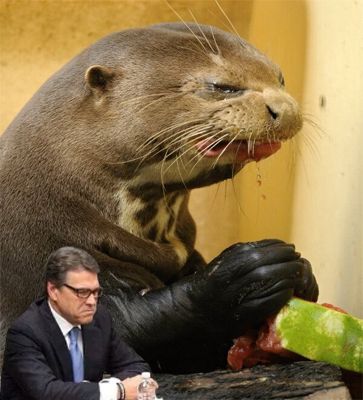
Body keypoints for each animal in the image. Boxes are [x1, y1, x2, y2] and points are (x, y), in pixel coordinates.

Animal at [0, 22, 318, 372]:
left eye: (280, 77)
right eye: (222, 86)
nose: (285, 109)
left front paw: (303, 275)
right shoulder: (40, 256)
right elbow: (131, 322)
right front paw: (243, 276)